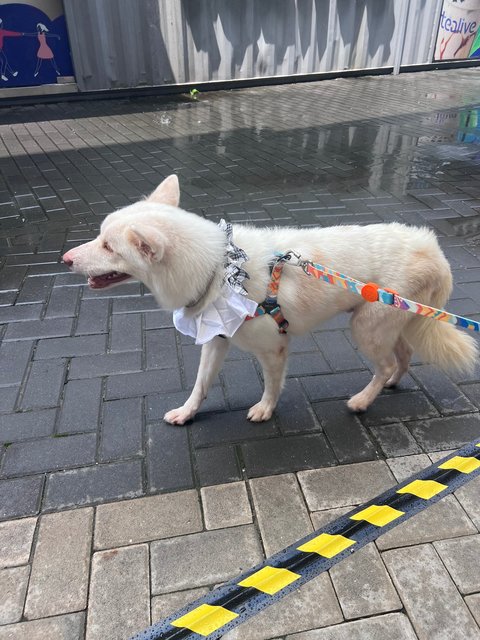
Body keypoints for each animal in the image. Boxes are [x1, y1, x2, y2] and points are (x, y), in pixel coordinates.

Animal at [62, 175, 478, 424]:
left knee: (386, 362)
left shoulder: (274, 348)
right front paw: (187, 412)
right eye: (100, 237)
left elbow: (272, 385)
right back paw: (391, 383)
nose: (65, 259)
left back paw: (363, 400)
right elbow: (200, 384)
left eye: (108, 246)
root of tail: (434, 250)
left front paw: (265, 409)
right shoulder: (216, 339)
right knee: (403, 356)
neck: (218, 268)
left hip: (367, 328)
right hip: (394, 321)